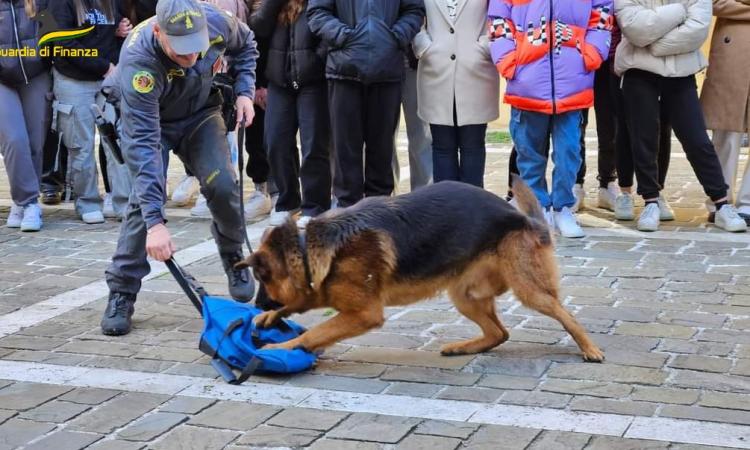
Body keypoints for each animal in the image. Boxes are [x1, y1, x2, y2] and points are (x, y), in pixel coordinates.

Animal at [239, 177, 604, 362]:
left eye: (263, 280)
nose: (256, 303)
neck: (307, 246)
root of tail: (524, 219)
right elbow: (305, 309)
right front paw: (270, 317)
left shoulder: (364, 314)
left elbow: (314, 332)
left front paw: (279, 348)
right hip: (465, 296)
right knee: (499, 333)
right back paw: (464, 347)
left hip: (529, 290)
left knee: (564, 314)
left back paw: (589, 349)